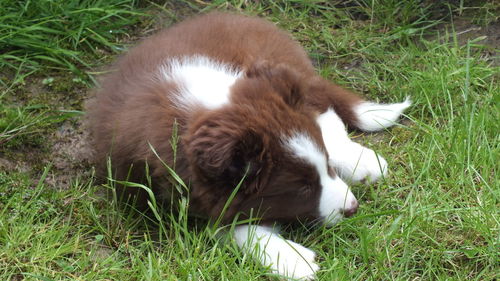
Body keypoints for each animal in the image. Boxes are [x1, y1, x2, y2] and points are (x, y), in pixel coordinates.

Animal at [88, 12, 412, 278]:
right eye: (302, 189)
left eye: (324, 169)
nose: (352, 209)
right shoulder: (169, 197)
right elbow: (231, 227)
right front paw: (292, 260)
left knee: (326, 114)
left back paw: (363, 162)